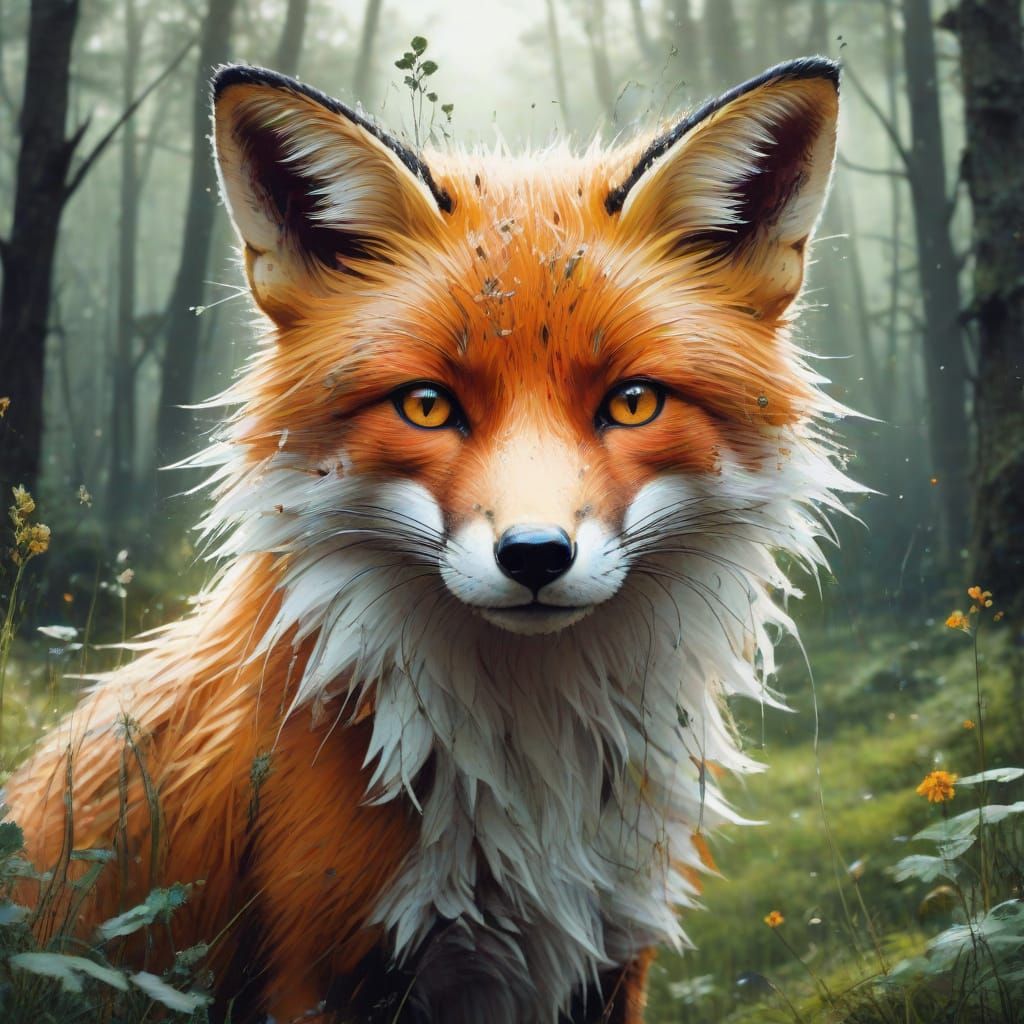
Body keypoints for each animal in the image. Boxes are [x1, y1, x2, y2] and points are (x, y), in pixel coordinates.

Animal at [5, 57, 852, 1023]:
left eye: (633, 402)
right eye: (426, 406)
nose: (534, 556)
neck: (532, 780)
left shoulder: (609, 958)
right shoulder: (322, 971)